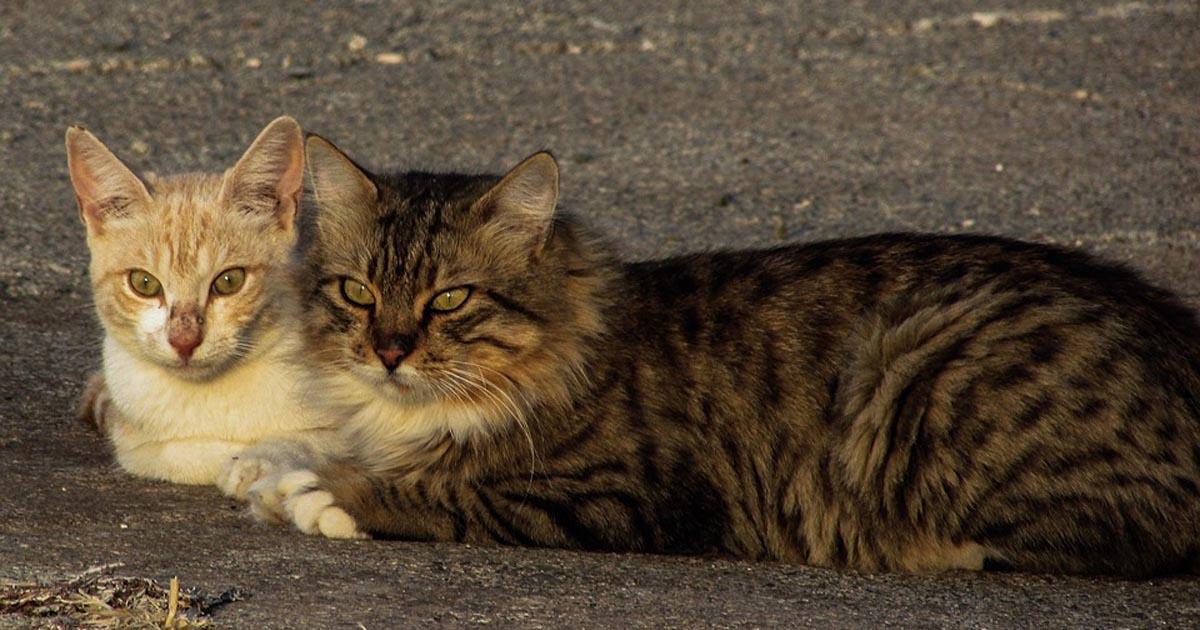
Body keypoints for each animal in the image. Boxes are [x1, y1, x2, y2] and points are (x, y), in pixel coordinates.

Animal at [69, 117, 338, 496]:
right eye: (143, 283)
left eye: (229, 281)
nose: (184, 341)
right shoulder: (138, 438)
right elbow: (165, 454)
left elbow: (317, 440)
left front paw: (258, 463)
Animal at [248, 137, 1195, 573]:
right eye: (358, 293)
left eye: (450, 299)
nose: (389, 350)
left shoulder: (616, 496)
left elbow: (441, 492)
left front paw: (322, 493)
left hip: (918, 368)